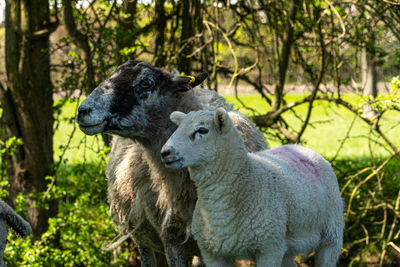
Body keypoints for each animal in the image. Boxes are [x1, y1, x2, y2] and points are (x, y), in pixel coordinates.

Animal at [159, 108, 344, 266]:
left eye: (202, 130)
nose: (165, 152)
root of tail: (301, 147)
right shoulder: (212, 253)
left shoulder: (269, 249)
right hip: (289, 246)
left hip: (331, 236)